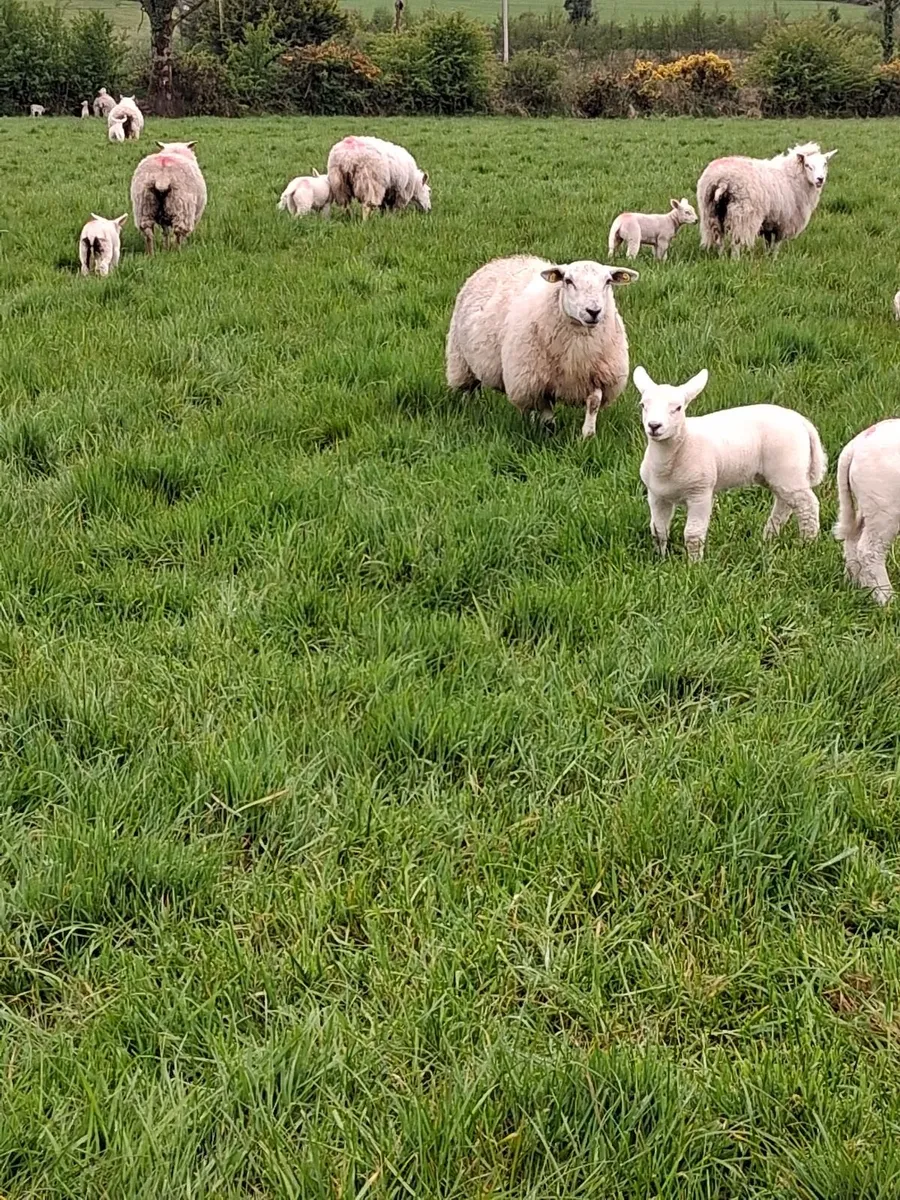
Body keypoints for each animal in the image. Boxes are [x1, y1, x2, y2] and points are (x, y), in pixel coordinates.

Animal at [446, 257, 638, 439]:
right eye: (568, 281)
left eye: (608, 281)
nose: (593, 311)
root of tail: (500, 260)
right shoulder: (538, 382)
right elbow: (547, 415)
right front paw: (549, 435)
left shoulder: (599, 376)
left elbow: (593, 404)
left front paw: (587, 436)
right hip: (463, 361)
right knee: (468, 390)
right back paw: (468, 411)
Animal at [635, 365, 826, 561]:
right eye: (643, 405)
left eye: (678, 408)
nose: (654, 426)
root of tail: (801, 421)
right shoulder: (657, 495)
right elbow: (658, 530)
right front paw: (659, 559)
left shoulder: (700, 493)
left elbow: (693, 534)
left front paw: (694, 564)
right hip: (777, 475)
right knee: (784, 503)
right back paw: (768, 539)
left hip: (788, 468)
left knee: (807, 505)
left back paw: (808, 544)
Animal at [697, 142, 836, 258]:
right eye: (807, 165)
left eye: (825, 164)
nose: (820, 179)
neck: (793, 177)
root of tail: (722, 180)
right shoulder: (783, 221)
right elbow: (777, 243)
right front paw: (774, 259)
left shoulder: (770, 221)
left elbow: (768, 242)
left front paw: (767, 257)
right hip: (742, 213)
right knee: (736, 241)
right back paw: (735, 260)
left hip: (711, 212)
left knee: (718, 238)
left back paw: (722, 258)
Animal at [834, 420, 900, 605]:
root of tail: (856, 444)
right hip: (885, 507)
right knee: (869, 551)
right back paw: (887, 599)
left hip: (867, 505)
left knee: (852, 541)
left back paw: (857, 586)